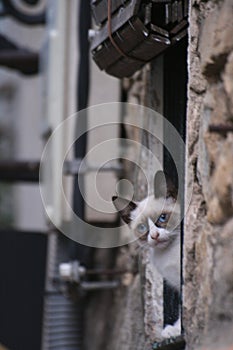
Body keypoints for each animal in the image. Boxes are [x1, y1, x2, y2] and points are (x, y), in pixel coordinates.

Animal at [112, 171, 181, 338]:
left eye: (163, 217)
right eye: (142, 228)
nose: (155, 236)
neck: (166, 252)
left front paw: (177, 330)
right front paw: (174, 330)